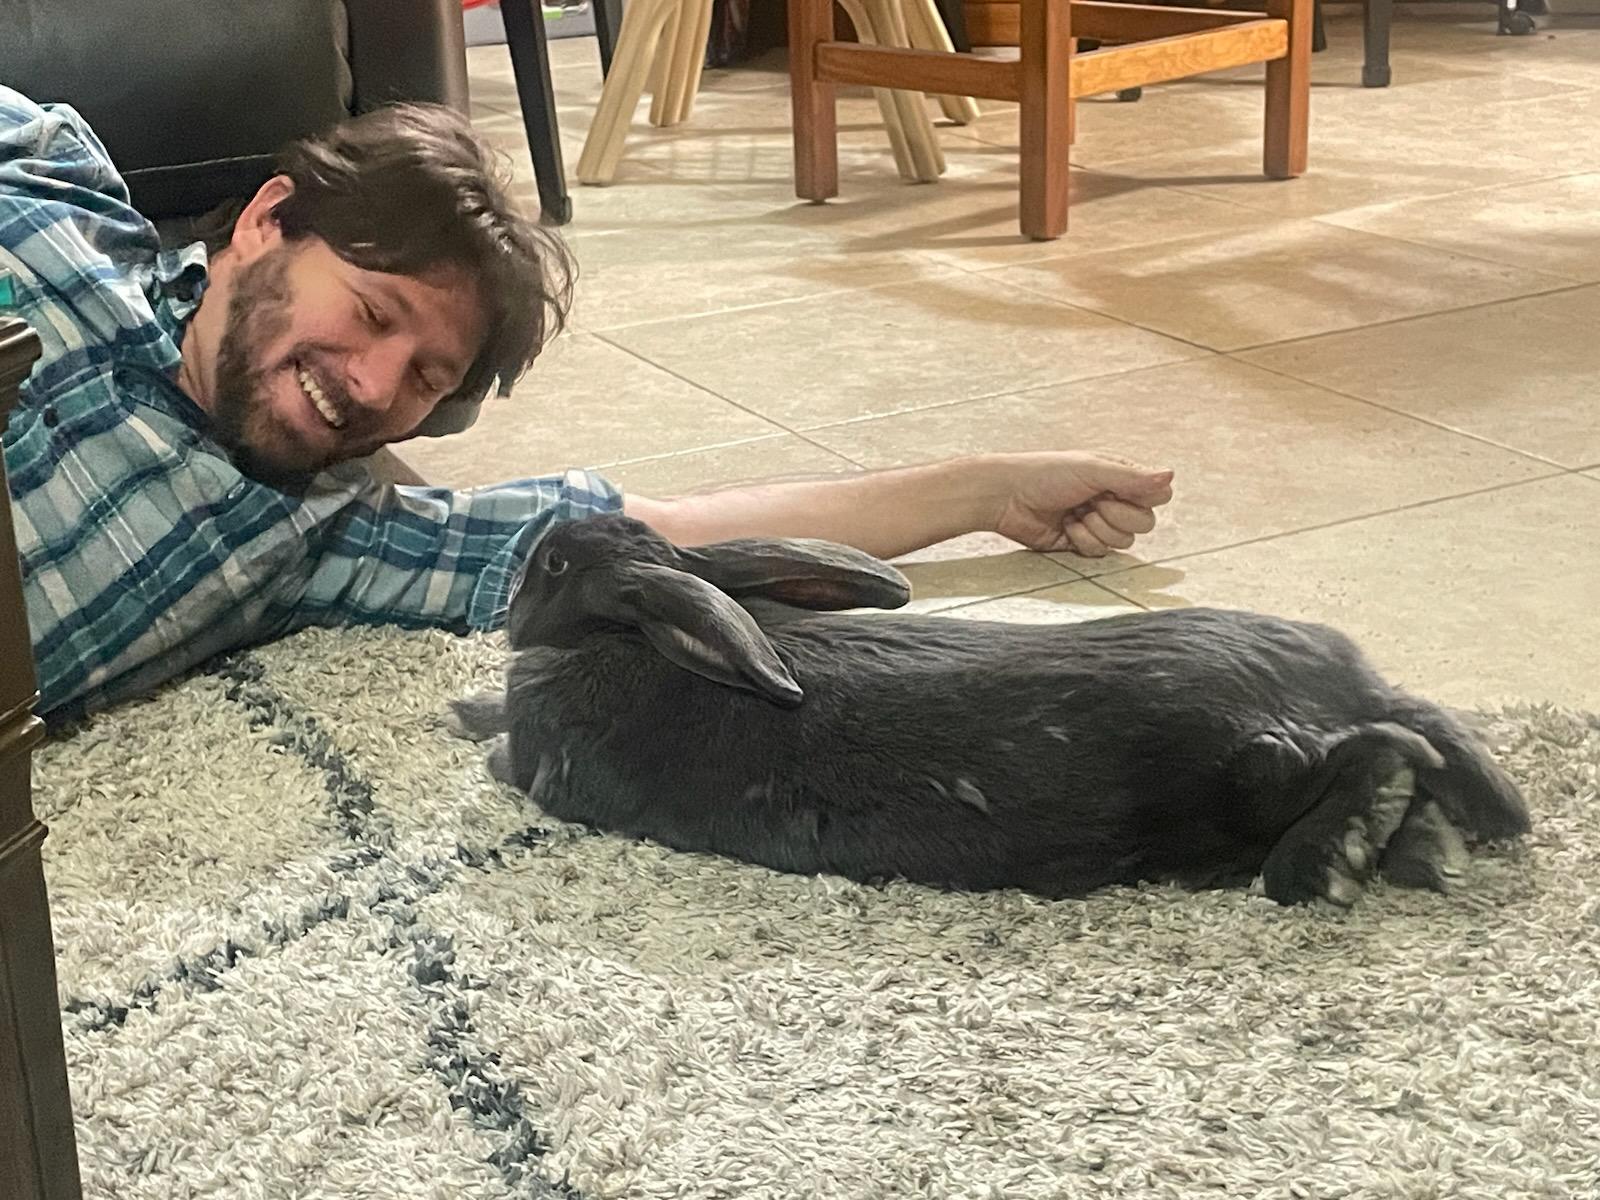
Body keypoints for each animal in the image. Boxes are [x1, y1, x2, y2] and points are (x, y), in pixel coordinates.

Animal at [452, 514, 1530, 907]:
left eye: (554, 564)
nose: (512, 572)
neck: (629, 637)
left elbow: (500, 749)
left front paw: (465, 713)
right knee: (1420, 746)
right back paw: (1441, 849)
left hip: (1246, 769)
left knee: (1382, 746)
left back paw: (1329, 864)